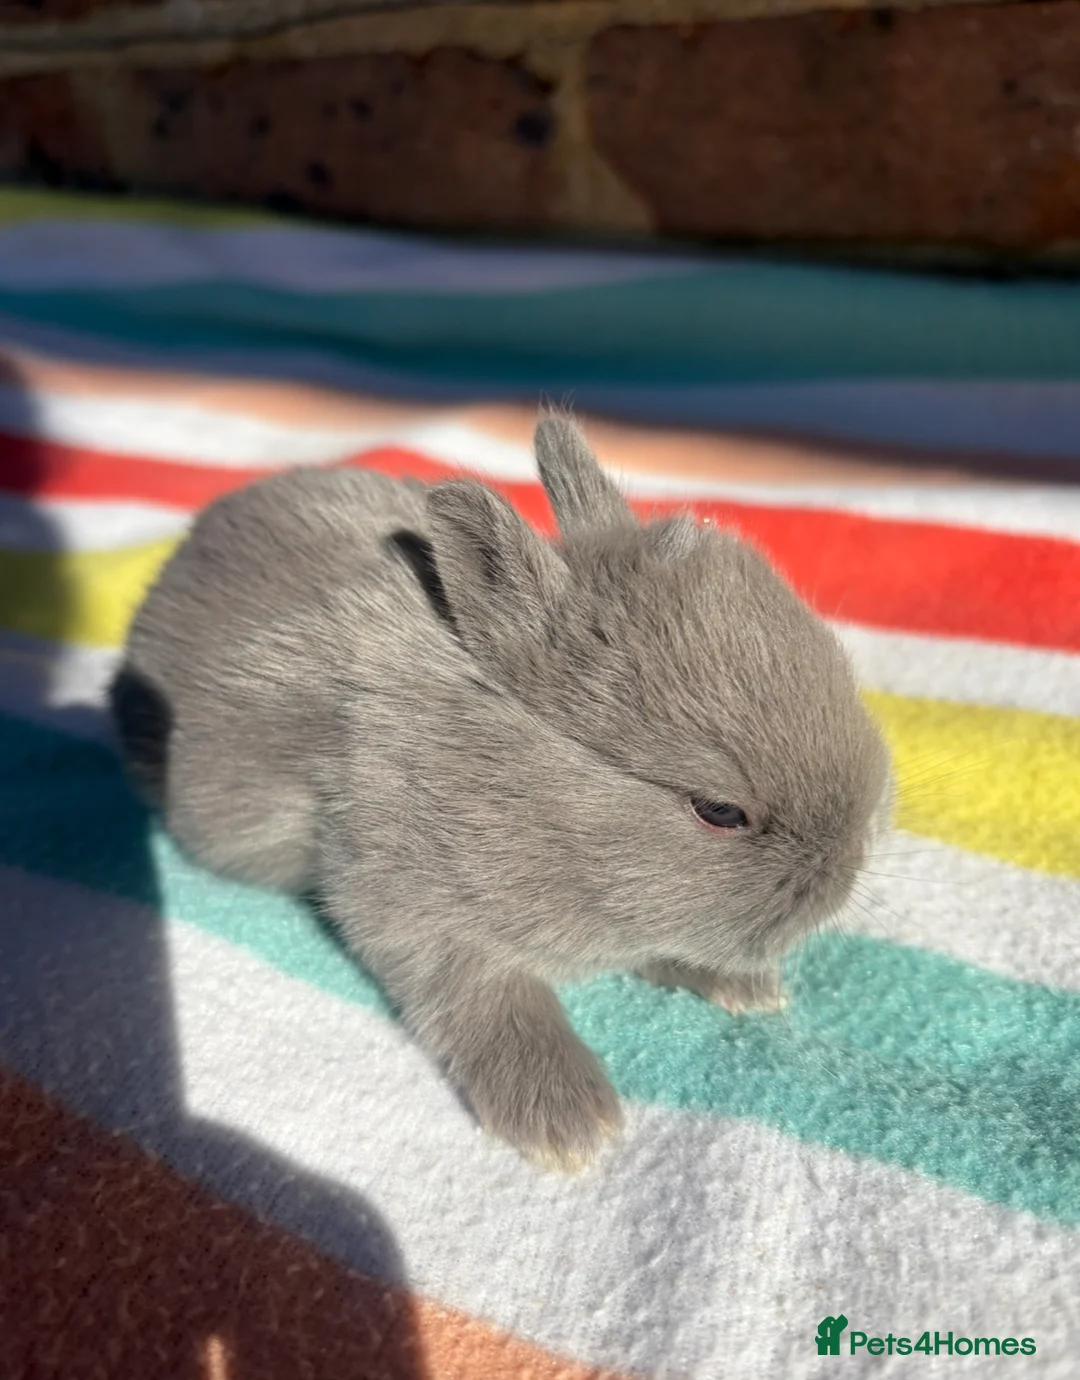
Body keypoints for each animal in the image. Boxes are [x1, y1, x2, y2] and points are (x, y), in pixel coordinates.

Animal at [110, 415, 891, 1172]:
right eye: (719, 811)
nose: (850, 865)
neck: (517, 782)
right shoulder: (410, 908)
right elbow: (493, 1000)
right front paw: (572, 1126)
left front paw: (747, 990)